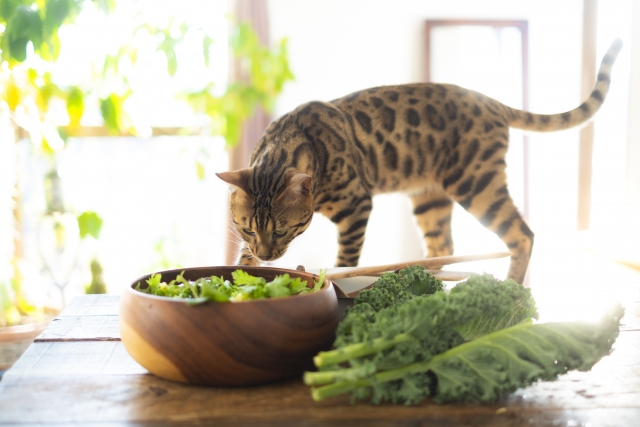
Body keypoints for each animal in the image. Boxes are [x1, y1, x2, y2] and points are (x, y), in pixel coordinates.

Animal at [218, 37, 624, 284]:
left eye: (282, 231)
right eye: (248, 228)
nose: (268, 254)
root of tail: (492, 102)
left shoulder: (357, 207)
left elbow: (346, 259)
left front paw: (335, 277)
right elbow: (240, 259)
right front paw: (243, 276)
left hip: (476, 184)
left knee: (522, 235)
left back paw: (513, 290)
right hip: (430, 199)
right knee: (443, 248)